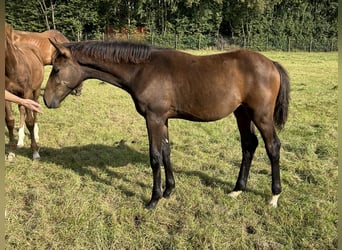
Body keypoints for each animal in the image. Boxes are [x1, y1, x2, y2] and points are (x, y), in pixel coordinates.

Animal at [5, 23, 44, 160]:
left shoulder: (27, 92)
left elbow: (30, 122)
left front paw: (35, 151)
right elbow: (9, 121)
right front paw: (11, 151)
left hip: (36, 91)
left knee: (35, 109)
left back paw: (36, 134)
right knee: (22, 109)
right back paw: (20, 140)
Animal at [42, 40, 288, 209]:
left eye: (56, 69)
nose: (47, 100)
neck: (143, 70)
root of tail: (271, 63)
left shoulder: (153, 118)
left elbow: (155, 156)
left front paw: (154, 199)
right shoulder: (164, 119)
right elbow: (166, 151)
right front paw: (169, 190)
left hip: (261, 116)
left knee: (272, 146)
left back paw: (274, 196)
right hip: (242, 113)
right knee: (249, 145)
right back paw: (237, 190)